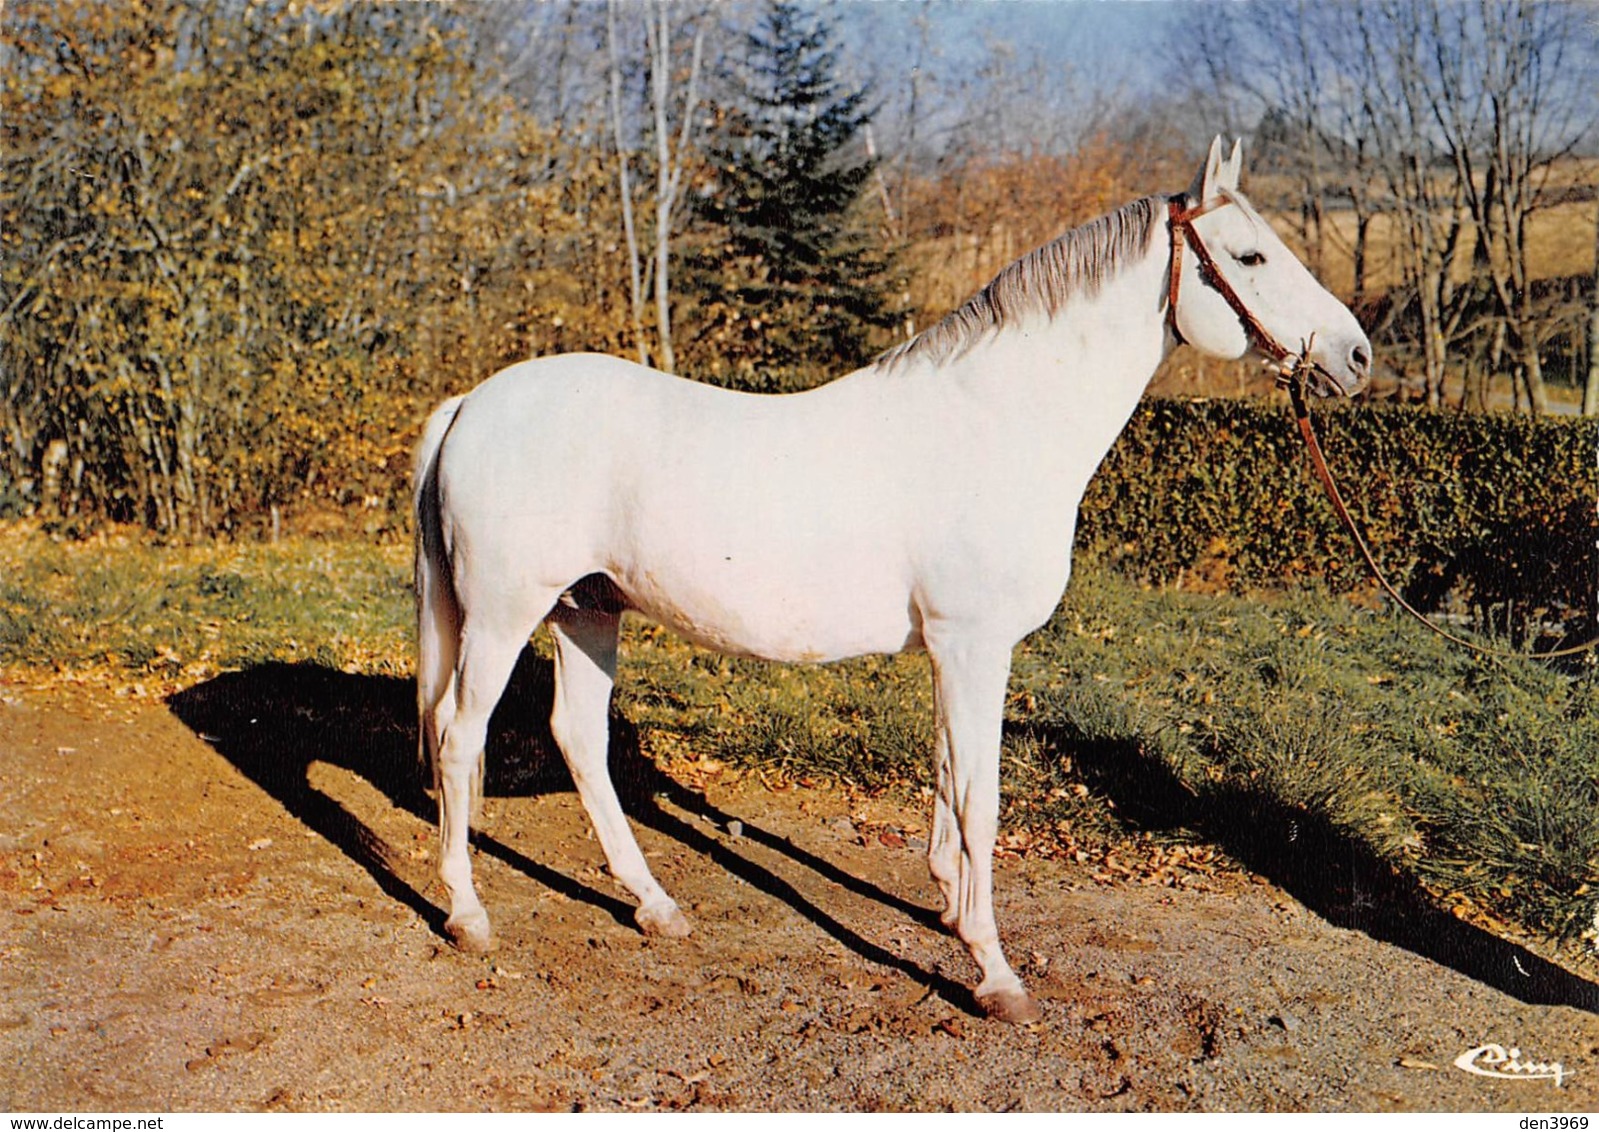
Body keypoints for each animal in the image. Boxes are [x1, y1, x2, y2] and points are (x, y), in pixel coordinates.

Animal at [415, 136, 1375, 1023]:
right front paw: (994, 975)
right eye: (1249, 257)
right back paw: (468, 916)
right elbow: (979, 800)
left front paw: (949, 909)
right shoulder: (972, 647)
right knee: (460, 736)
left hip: (586, 610)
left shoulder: (958, 654)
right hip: (504, 615)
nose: (1356, 356)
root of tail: (472, 403)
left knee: (577, 739)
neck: (995, 422)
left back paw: (655, 907)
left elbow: (950, 787)